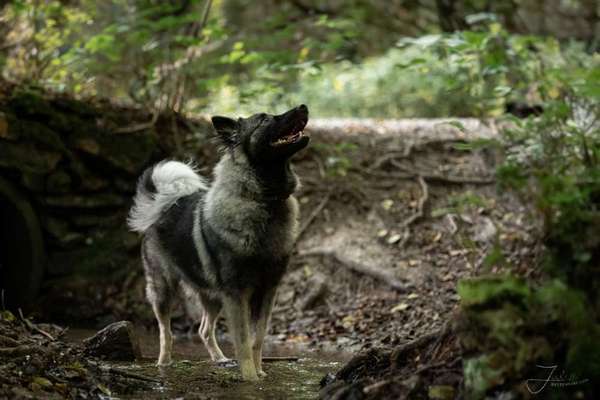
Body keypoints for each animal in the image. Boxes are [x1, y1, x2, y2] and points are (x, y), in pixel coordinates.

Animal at [129, 104, 312, 380]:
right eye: (263, 120)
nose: (303, 107)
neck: (264, 200)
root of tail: (165, 204)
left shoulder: (267, 291)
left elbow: (258, 339)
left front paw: (260, 373)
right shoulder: (237, 294)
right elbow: (244, 341)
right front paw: (250, 378)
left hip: (212, 296)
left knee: (204, 329)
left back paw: (220, 359)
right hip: (163, 289)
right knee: (166, 333)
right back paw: (163, 364)